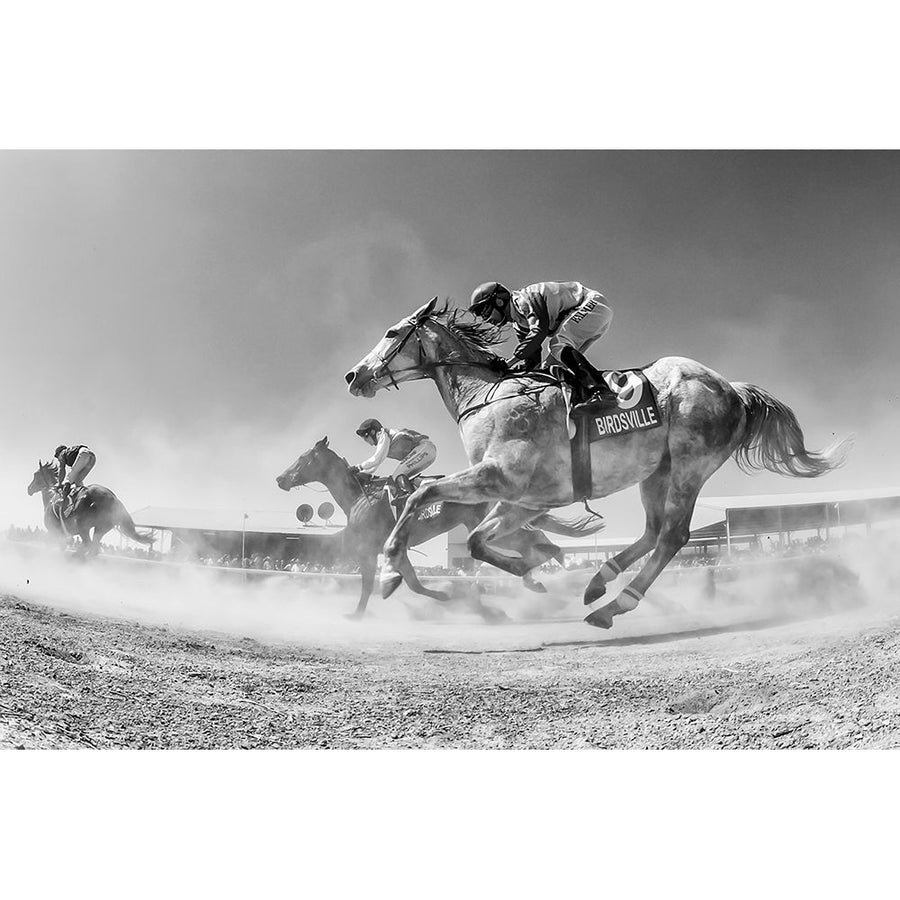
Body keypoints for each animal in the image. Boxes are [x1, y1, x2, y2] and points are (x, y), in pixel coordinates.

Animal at [27, 464, 155, 556]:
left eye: (36, 475)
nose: (29, 489)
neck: (52, 497)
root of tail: (115, 500)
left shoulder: (54, 531)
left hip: (83, 526)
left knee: (88, 546)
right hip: (100, 529)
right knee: (93, 549)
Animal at [274, 438, 604, 620]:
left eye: (303, 458)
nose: (280, 478)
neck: (359, 496)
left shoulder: (369, 551)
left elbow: (373, 585)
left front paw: (356, 615)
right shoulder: (395, 550)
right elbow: (413, 583)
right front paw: (456, 600)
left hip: (497, 528)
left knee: (541, 544)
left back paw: (561, 575)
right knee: (540, 544)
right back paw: (550, 578)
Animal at [344, 298, 852, 628]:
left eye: (392, 333)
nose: (353, 375)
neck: (487, 395)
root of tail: (731, 388)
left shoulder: (499, 476)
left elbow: (423, 495)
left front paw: (390, 570)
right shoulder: (524, 498)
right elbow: (476, 541)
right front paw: (533, 574)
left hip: (690, 465)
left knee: (673, 536)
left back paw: (614, 605)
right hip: (656, 472)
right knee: (652, 531)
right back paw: (596, 584)